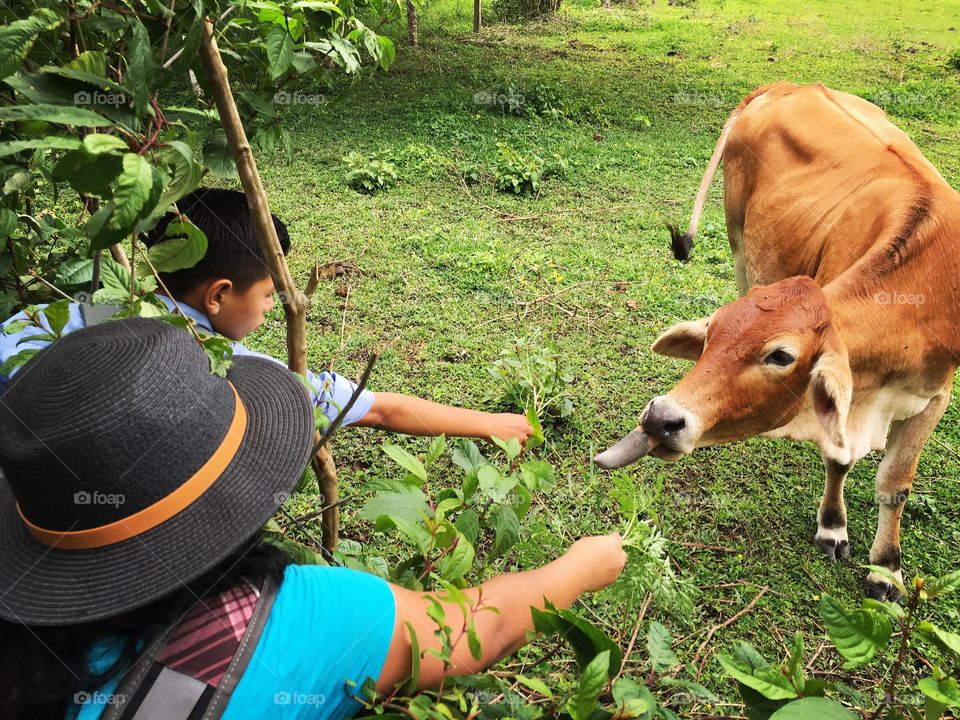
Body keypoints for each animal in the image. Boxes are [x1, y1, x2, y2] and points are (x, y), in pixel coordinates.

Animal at [596, 83, 960, 600]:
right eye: (712, 333)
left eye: (781, 355)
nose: (660, 418)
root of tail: (790, 86)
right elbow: (838, 458)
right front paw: (833, 528)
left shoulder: (934, 396)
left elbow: (896, 485)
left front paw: (886, 569)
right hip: (739, 241)